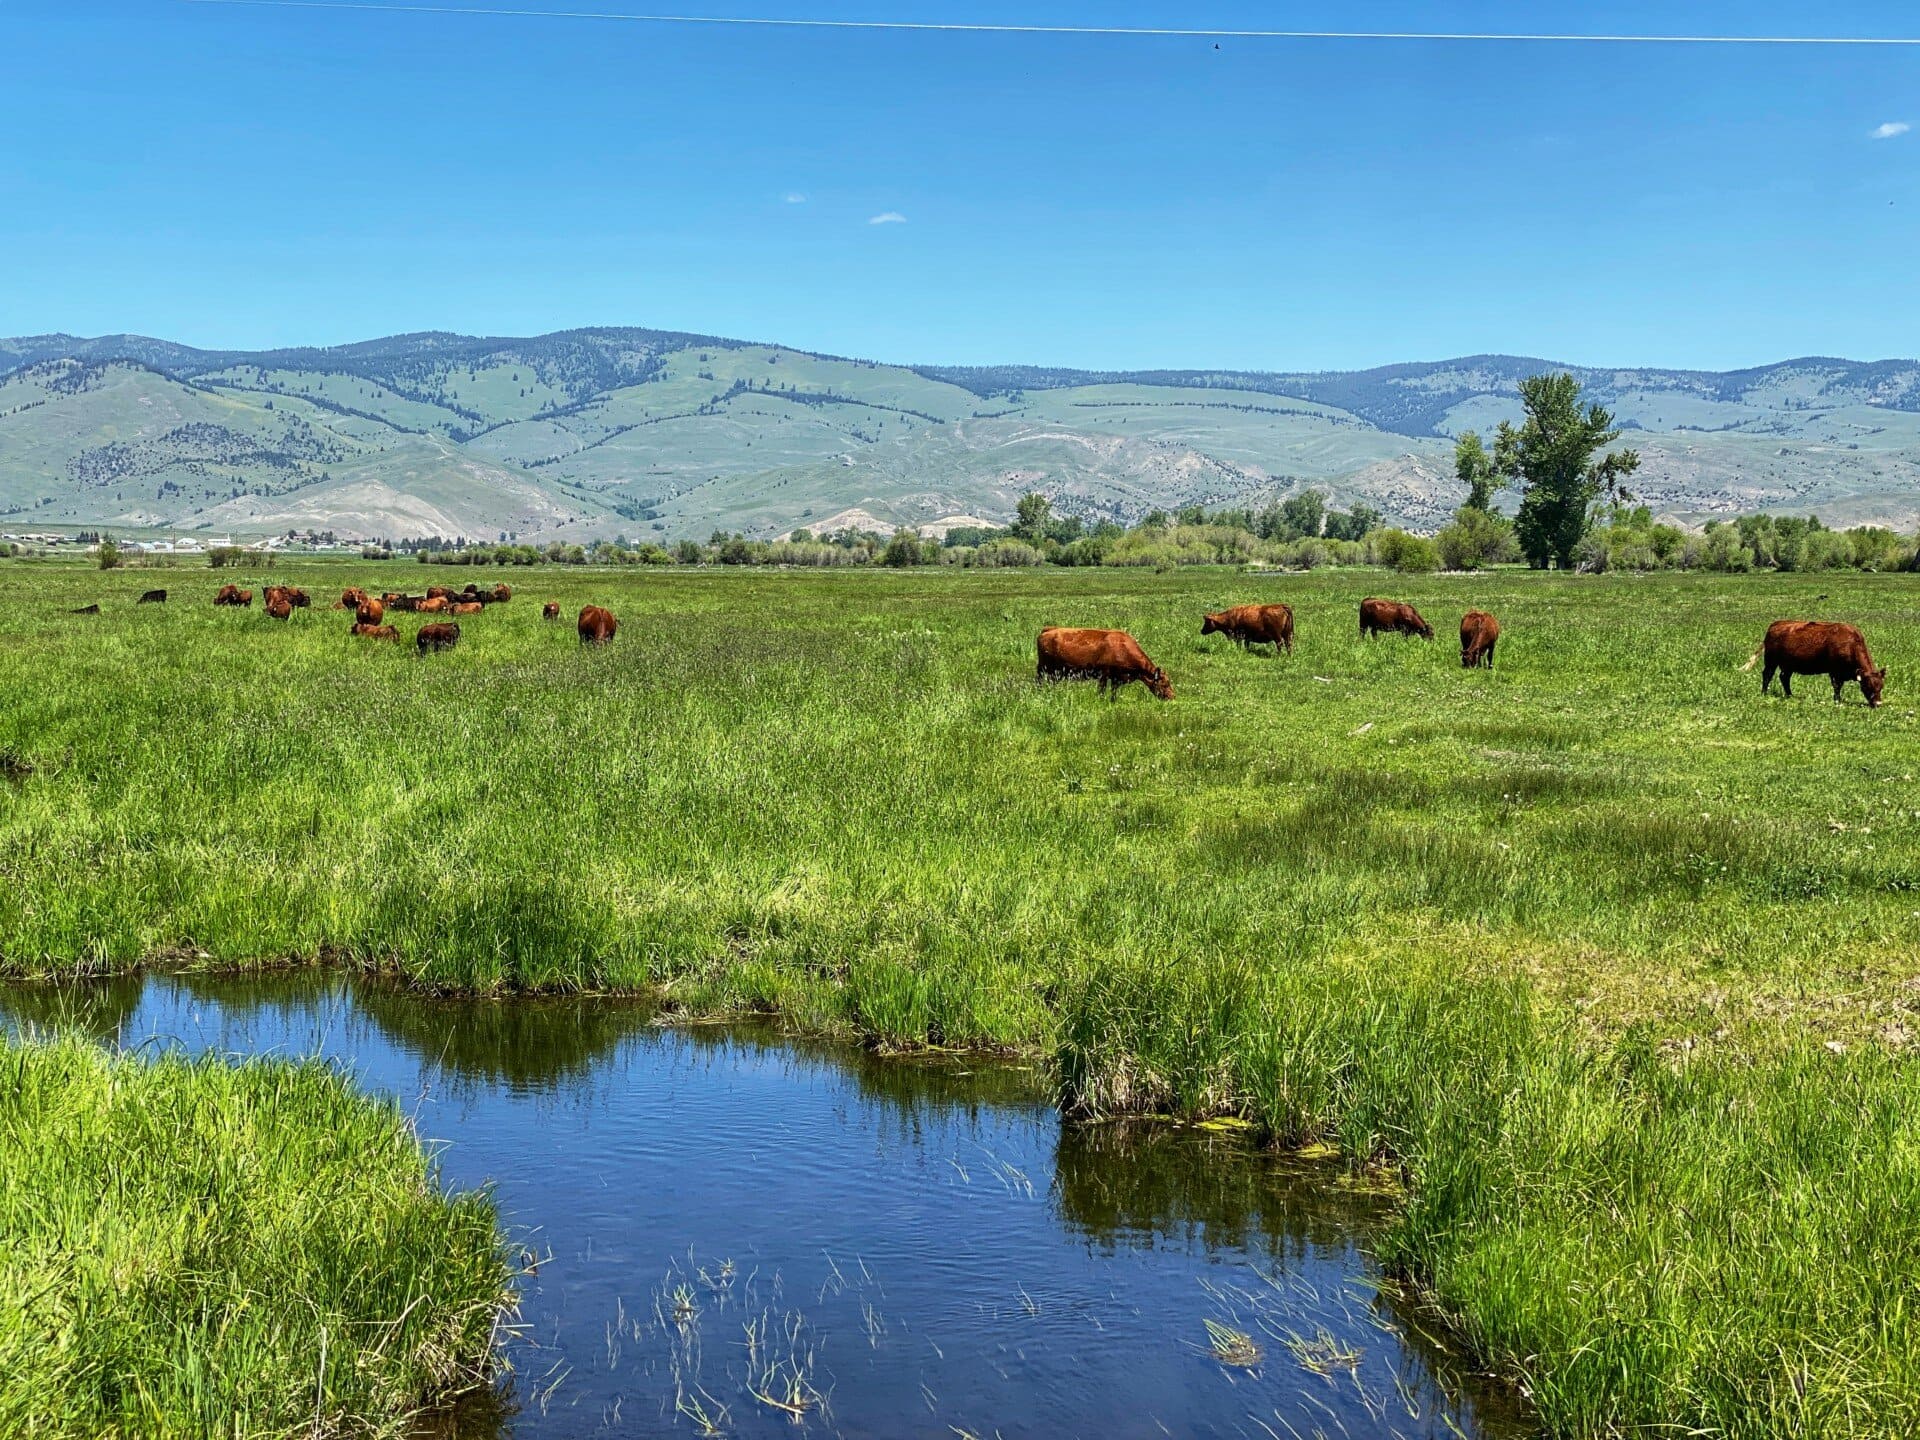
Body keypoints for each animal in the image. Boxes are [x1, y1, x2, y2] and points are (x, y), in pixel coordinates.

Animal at [1036, 626, 1173, 700]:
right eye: (1165, 684)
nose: (1172, 696)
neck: (1122, 647)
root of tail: (1047, 630)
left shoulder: (1116, 679)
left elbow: (1113, 693)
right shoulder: (1104, 675)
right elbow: (1101, 692)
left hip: (1054, 674)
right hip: (1044, 669)